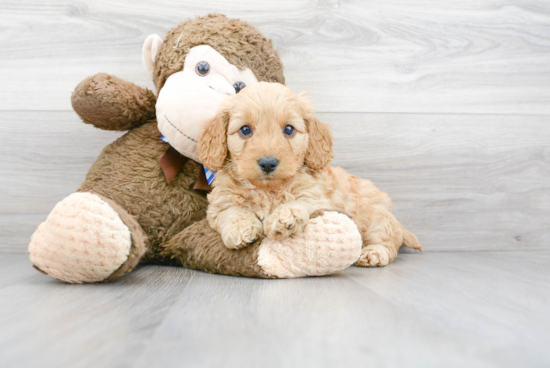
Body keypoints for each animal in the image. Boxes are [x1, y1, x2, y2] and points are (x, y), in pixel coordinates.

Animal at [201, 82, 424, 268]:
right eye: (245, 130)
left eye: (289, 129)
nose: (268, 163)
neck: (268, 190)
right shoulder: (220, 203)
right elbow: (232, 211)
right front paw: (241, 228)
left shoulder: (317, 198)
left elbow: (298, 202)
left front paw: (283, 218)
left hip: (374, 217)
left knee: (388, 241)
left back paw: (374, 253)